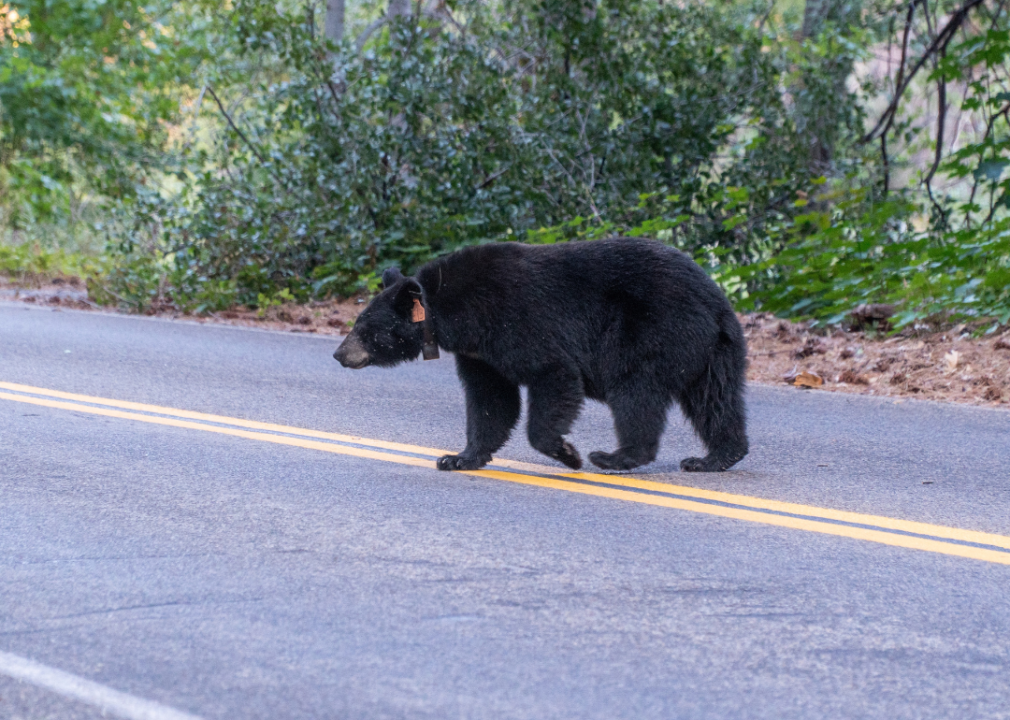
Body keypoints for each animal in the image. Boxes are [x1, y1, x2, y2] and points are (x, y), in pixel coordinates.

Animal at [335, 236, 747, 472]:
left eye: (365, 328)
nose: (339, 354)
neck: (456, 311)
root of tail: (715, 299)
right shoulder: (480, 354)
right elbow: (490, 400)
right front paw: (457, 457)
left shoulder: (517, 322)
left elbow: (554, 374)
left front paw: (567, 452)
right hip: (714, 350)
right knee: (715, 400)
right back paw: (714, 457)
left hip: (651, 330)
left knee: (636, 391)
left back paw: (614, 457)